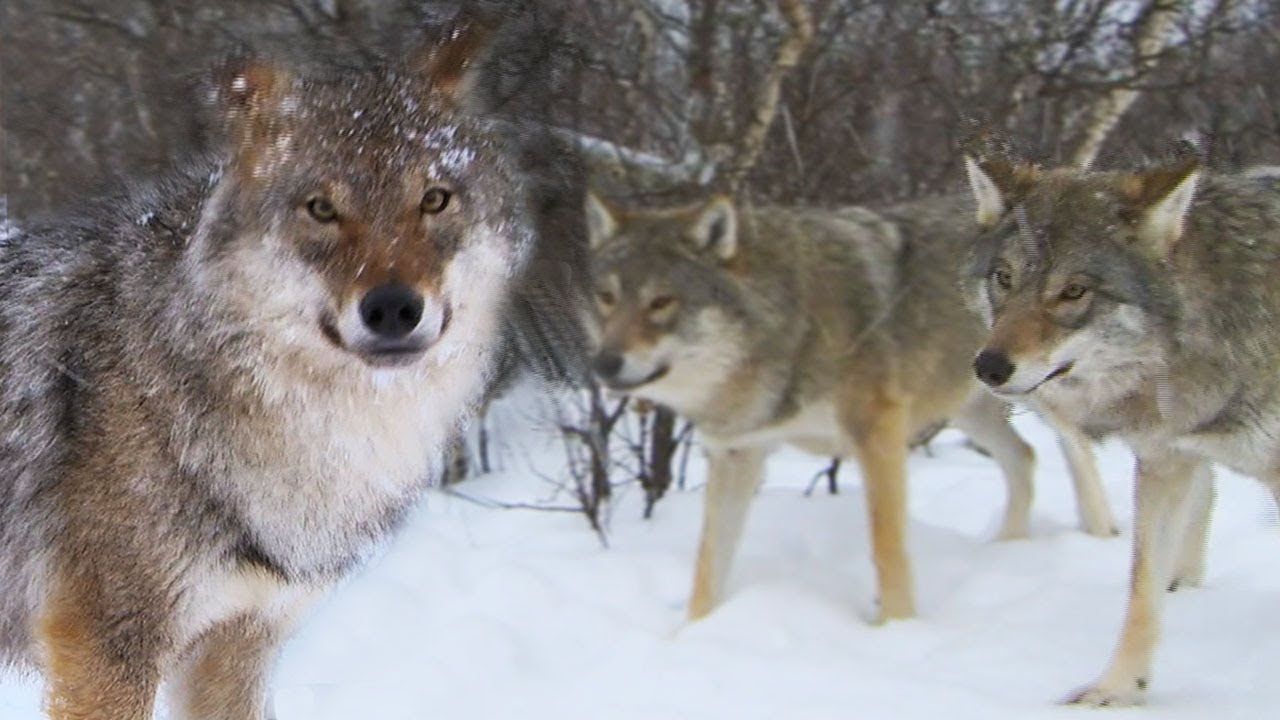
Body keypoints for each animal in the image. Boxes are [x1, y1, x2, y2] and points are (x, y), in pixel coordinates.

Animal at [586, 190, 1116, 622]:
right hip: (969, 409)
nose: (604, 364)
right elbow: (707, 566)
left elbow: (887, 547)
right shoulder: (735, 454)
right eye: (607, 298)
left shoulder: (876, 433)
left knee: (1078, 453)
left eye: (661, 302)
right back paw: (1007, 547)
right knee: (1023, 457)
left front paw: (897, 630)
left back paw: (1102, 535)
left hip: (1046, 393)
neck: (789, 323)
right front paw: (692, 634)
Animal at [962, 154, 1280, 702]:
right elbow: (1141, 591)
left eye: (1073, 291)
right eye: (1004, 278)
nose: (989, 367)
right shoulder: (1163, 462)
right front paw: (1115, 690)